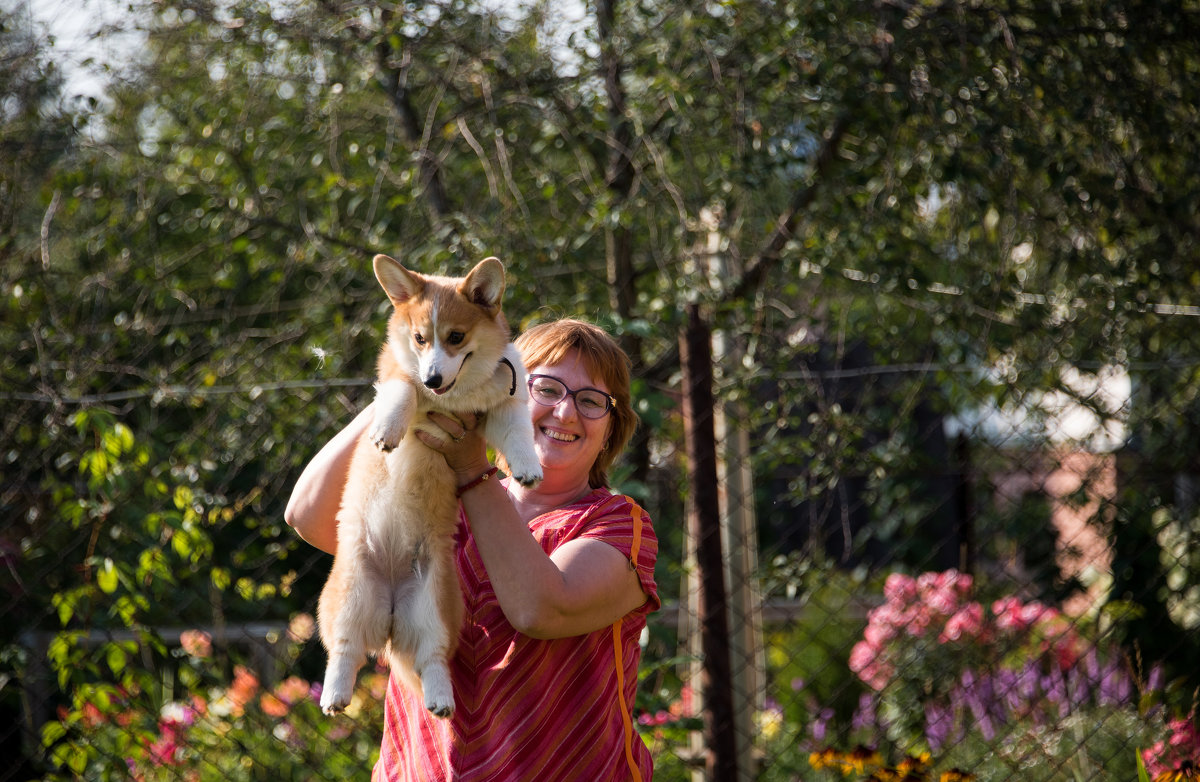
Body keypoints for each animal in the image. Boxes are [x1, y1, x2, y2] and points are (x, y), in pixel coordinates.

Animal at [319, 253, 544, 719]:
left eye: (456, 337)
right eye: (420, 338)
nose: (433, 380)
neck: (453, 397)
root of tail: (389, 615)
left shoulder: (502, 405)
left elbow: (518, 432)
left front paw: (528, 468)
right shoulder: (395, 374)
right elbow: (402, 391)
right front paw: (388, 430)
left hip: (437, 606)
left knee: (433, 658)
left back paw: (441, 698)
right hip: (348, 595)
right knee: (345, 650)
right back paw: (334, 694)